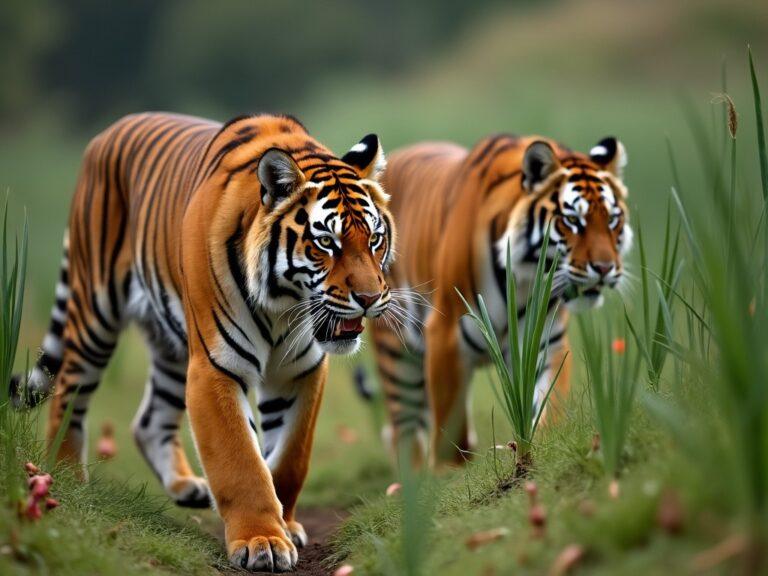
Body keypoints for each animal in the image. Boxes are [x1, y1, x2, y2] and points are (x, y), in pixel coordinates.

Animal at [10, 111, 396, 572]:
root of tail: (111, 129)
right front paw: (263, 540)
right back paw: (69, 476)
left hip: (173, 348)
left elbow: (289, 459)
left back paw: (186, 487)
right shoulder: (216, 366)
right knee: (69, 392)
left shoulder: (298, 371)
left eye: (374, 239)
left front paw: (286, 525)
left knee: (149, 420)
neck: (284, 304)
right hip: (95, 312)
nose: (370, 299)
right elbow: (240, 460)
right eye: (326, 243)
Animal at [368, 134, 632, 468]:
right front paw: (448, 472)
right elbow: (449, 432)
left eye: (612, 220)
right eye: (572, 221)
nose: (605, 268)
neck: (524, 281)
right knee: (404, 430)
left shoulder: (549, 342)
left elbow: (551, 405)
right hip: (395, 352)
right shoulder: (445, 335)